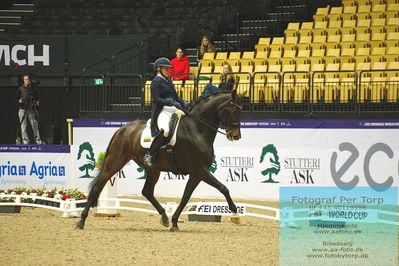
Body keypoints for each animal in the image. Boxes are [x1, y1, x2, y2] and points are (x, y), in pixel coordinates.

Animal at [75, 89, 244, 231]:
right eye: (233, 110)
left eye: (241, 110)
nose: (235, 136)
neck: (197, 129)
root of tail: (122, 129)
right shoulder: (200, 170)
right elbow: (223, 188)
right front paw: (235, 215)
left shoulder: (196, 174)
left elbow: (186, 197)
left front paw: (174, 222)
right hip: (115, 162)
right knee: (98, 186)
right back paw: (81, 221)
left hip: (153, 169)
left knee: (147, 191)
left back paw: (164, 218)